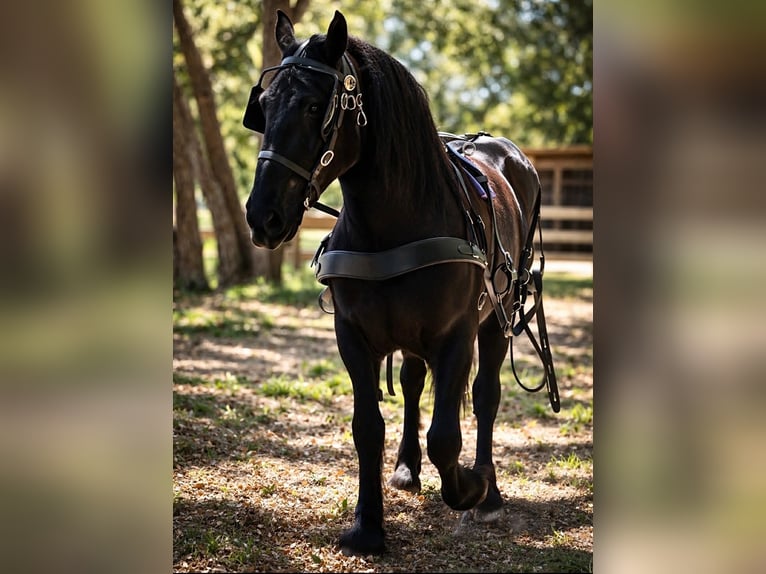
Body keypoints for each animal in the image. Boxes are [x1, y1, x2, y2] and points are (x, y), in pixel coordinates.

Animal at [244, 10, 558, 556]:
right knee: (412, 382)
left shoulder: (457, 334)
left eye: (313, 106)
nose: (263, 216)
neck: (392, 223)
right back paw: (407, 468)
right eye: (263, 106)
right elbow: (368, 427)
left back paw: (490, 492)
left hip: (496, 319)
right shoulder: (352, 334)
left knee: (486, 395)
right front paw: (368, 525)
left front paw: (470, 486)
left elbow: (447, 436)